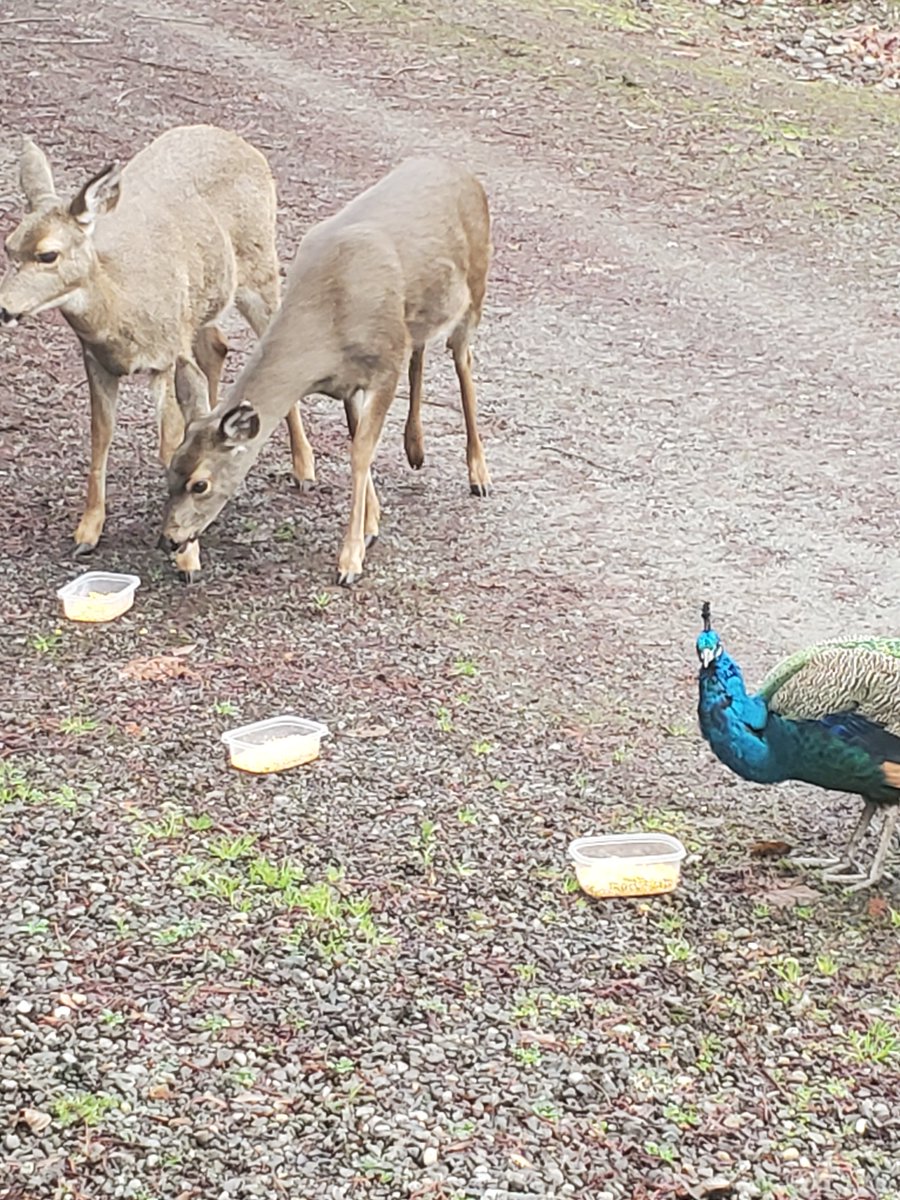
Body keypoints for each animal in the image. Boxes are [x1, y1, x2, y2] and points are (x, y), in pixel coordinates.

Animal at [0, 124, 316, 581]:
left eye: (48, 254)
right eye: (9, 247)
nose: (5, 308)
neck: (122, 307)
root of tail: (240, 142)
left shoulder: (165, 359)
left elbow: (168, 443)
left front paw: (188, 558)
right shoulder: (97, 360)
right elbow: (101, 436)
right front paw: (87, 533)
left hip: (259, 269)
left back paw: (305, 470)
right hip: (199, 309)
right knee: (216, 347)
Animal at [159, 155, 492, 586]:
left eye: (200, 483)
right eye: (171, 469)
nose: (168, 539)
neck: (328, 322)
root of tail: (461, 172)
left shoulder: (384, 365)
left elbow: (360, 452)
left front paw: (349, 561)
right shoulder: (351, 380)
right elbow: (357, 439)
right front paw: (371, 523)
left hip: (476, 287)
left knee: (462, 359)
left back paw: (479, 474)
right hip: (421, 311)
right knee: (421, 348)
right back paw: (415, 448)